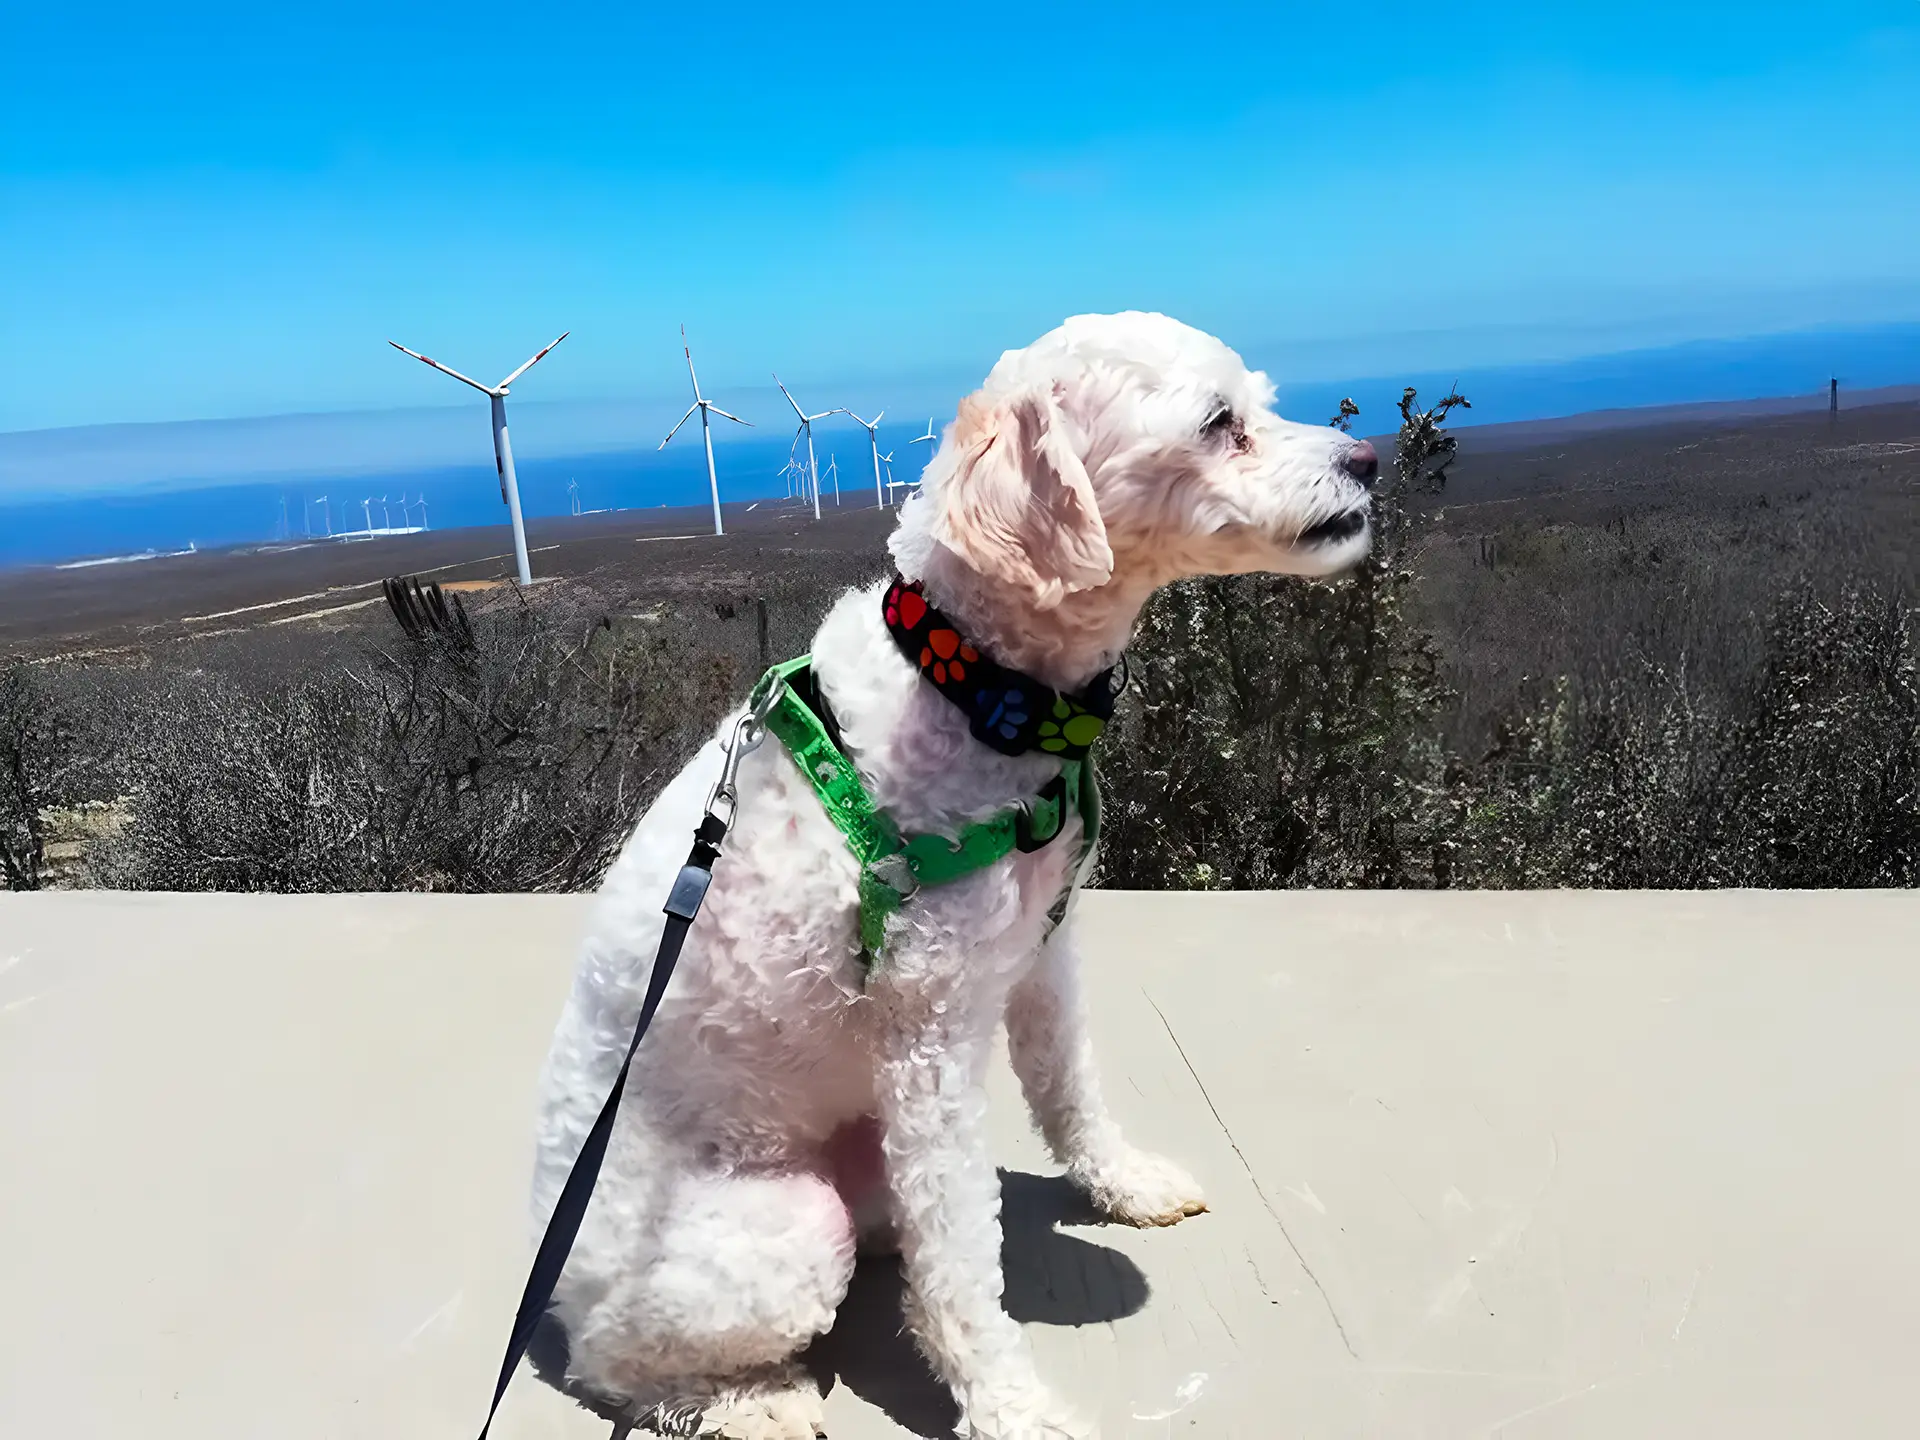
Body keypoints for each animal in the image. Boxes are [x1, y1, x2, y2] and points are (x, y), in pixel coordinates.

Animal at [533, 311, 1382, 1436]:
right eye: (1217, 423)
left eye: (1265, 400)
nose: (1368, 460)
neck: (975, 684)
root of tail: (551, 1296)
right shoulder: (927, 1037)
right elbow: (963, 1259)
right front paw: (1011, 1404)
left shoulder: (1042, 952)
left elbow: (1071, 1087)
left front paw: (1122, 1183)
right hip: (779, 1232)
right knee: (619, 1369)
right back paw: (749, 1400)